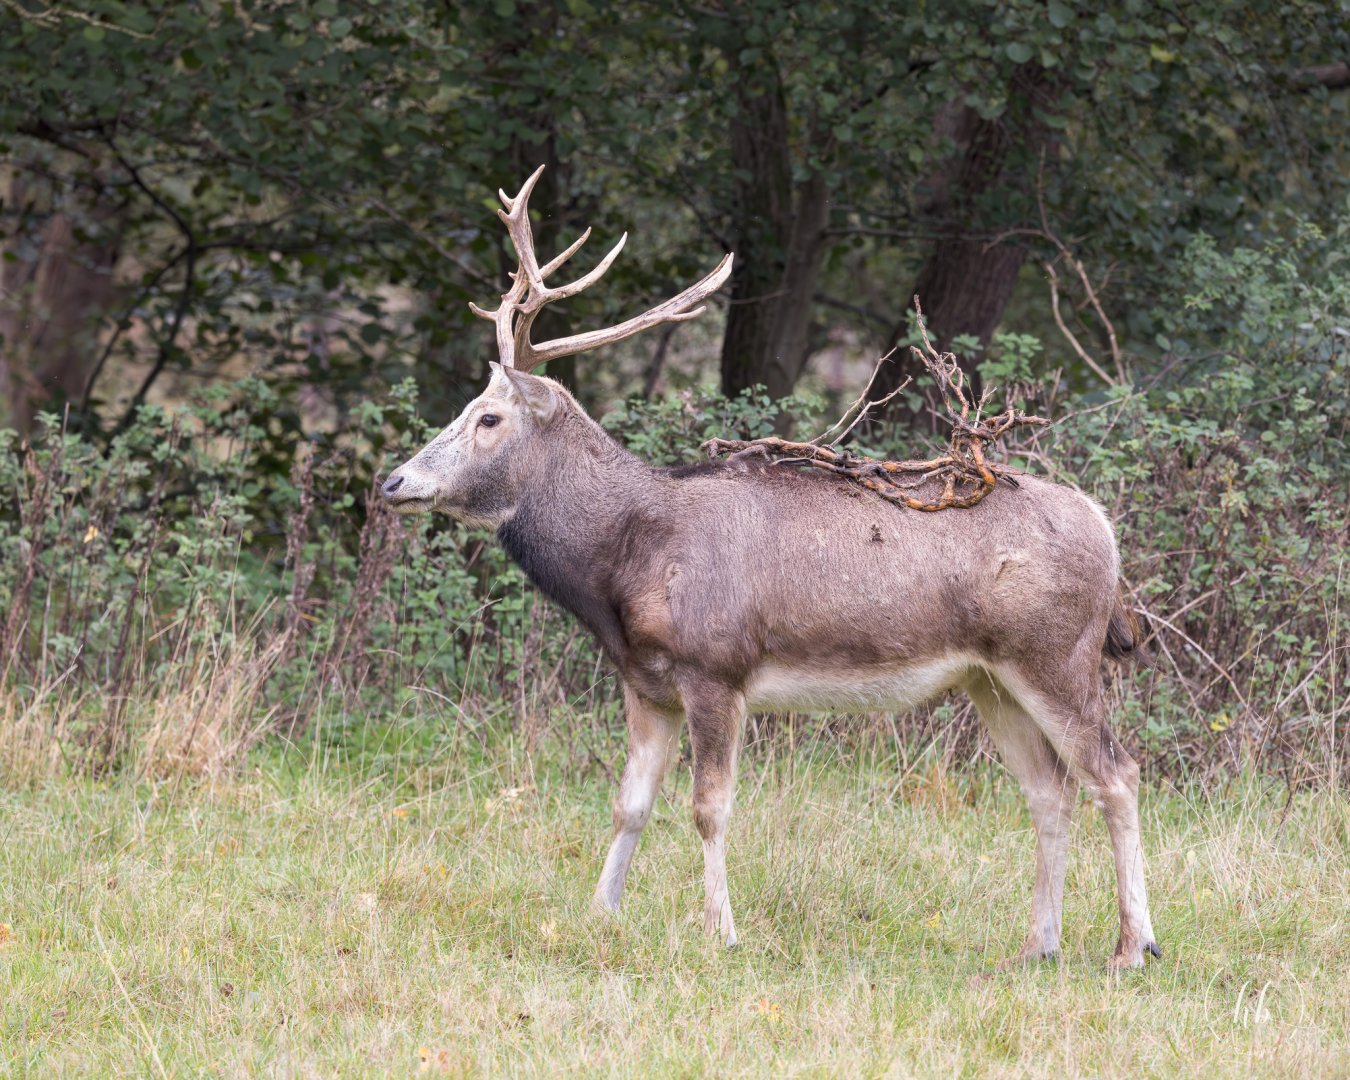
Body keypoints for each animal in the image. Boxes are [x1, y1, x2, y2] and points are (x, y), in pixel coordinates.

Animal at [381, 166, 1161, 969]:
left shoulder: (715, 668)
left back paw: (1133, 946)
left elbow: (708, 808)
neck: (627, 562)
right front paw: (599, 913)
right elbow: (629, 805)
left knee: (1118, 773)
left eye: (489, 418)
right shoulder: (645, 683)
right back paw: (1040, 945)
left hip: (1057, 655)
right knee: (1051, 790)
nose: (395, 482)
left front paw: (720, 931)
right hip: (991, 676)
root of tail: (1105, 529)